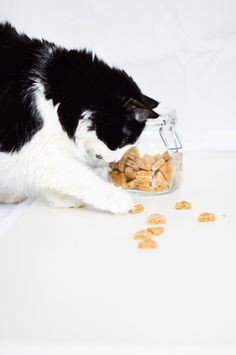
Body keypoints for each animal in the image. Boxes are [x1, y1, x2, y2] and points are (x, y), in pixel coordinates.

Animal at [0, 23, 159, 216]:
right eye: (124, 140)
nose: (115, 161)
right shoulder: (28, 147)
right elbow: (76, 174)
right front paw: (117, 199)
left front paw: (62, 199)